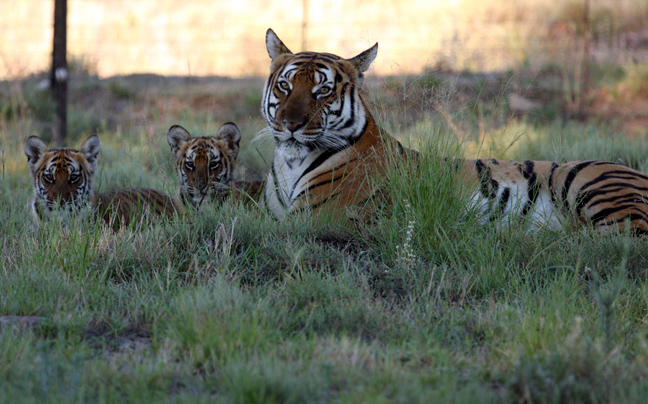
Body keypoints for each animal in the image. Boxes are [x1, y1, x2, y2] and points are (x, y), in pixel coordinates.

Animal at [260, 29, 648, 234]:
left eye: (323, 91)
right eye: (285, 86)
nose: (291, 124)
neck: (289, 164)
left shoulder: (314, 218)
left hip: (588, 182)